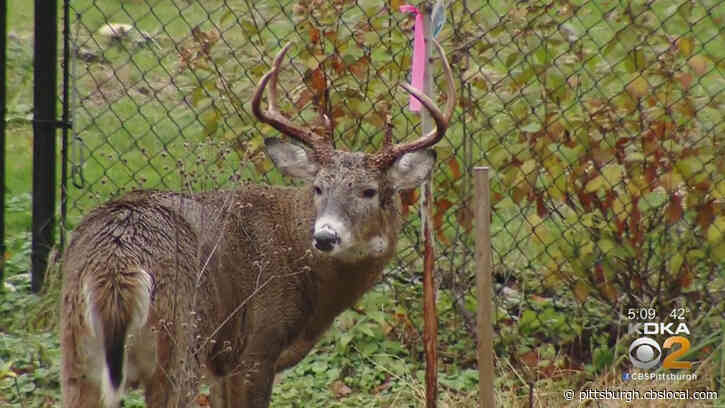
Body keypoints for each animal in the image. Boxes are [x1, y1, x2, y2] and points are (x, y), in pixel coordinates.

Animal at [59, 39, 454, 408]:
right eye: (318, 187)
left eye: (369, 191)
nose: (325, 237)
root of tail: (116, 264)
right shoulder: (256, 349)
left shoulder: (222, 363)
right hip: (180, 342)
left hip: (78, 354)